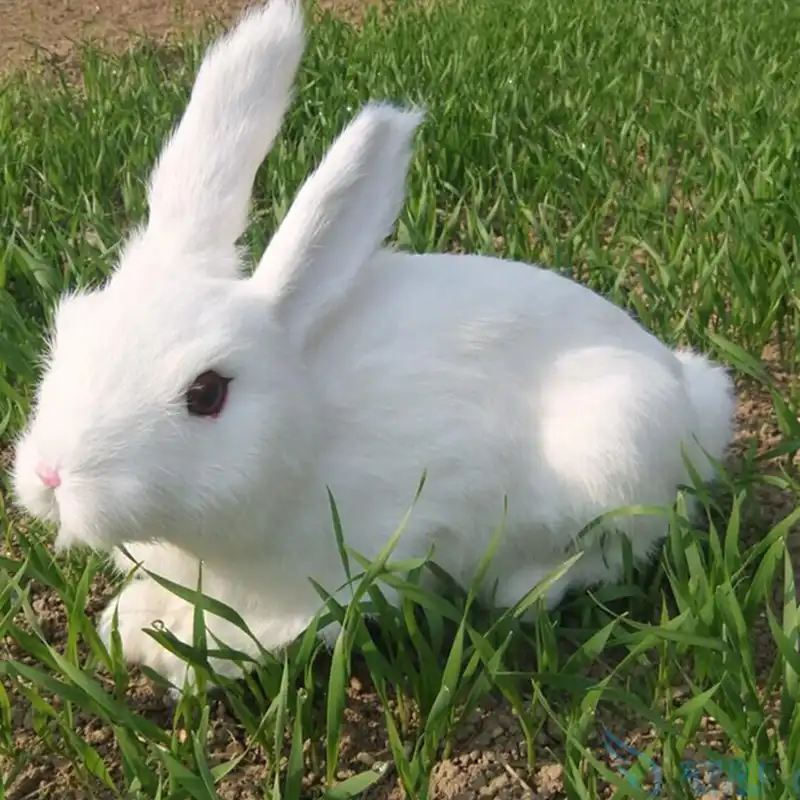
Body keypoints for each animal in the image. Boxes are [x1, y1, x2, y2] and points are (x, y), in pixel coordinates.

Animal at [14, 0, 736, 692]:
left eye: (207, 392)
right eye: (71, 326)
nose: (51, 475)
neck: (305, 440)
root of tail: (692, 398)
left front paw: (185, 652)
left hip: (610, 449)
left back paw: (525, 588)